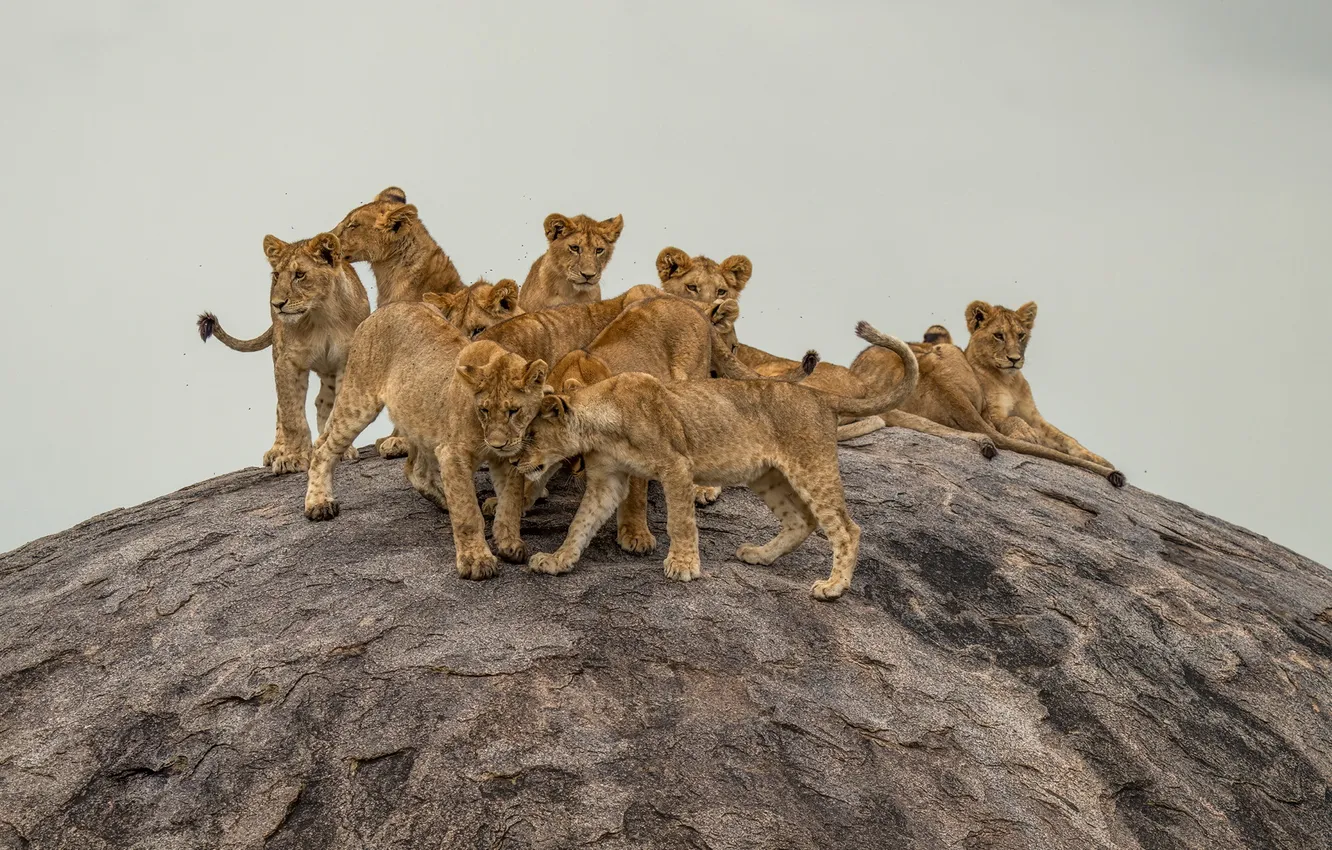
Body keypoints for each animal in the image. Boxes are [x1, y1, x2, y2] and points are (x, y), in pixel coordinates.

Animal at [196, 232, 369, 474]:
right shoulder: (288, 362)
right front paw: (293, 457)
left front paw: (336, 448)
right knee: (281, 409)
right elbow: (291, 416)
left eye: (300, 275)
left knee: (322, 401)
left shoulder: (347, 362)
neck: (322, 315)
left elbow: (337, 409)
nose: (276, 304)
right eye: (277, 275)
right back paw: (277, 450)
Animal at [303, 302, 550, 579]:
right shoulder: (453, 453)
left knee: (414, 468)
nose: (497, 444)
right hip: (359, 399)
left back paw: (442, 499)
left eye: (514, 411)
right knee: (323, 448)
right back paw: (319, 503)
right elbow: (467, 512)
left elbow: (510, 503)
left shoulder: (508, 458)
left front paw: (509, 544)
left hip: (420, 421)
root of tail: (383, 309)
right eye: (484, 410)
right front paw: (476, 560)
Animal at [515, 322, 918, 601]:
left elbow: (680, 521)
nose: (516, 460)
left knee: (847, 529)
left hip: (812, 468)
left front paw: (683, 565)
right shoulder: (606, 481)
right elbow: (580, 524)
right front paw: (557, 560)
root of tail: (820, 395)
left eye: (531, 434)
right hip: (768, 476)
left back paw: (833, 587)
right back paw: (759, 555)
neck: (600, 424)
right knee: (801, 520)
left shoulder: (676, 466)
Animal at [842, 305, 1126, 486]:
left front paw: (1098, 459)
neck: (1010, 380)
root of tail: (947, 389)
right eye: (998, 336)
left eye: (1021, 336)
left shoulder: (1034, 415)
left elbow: (1067, 439)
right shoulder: (995, 412)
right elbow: (1014, 423)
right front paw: (1026, 434)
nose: (1015, 359)